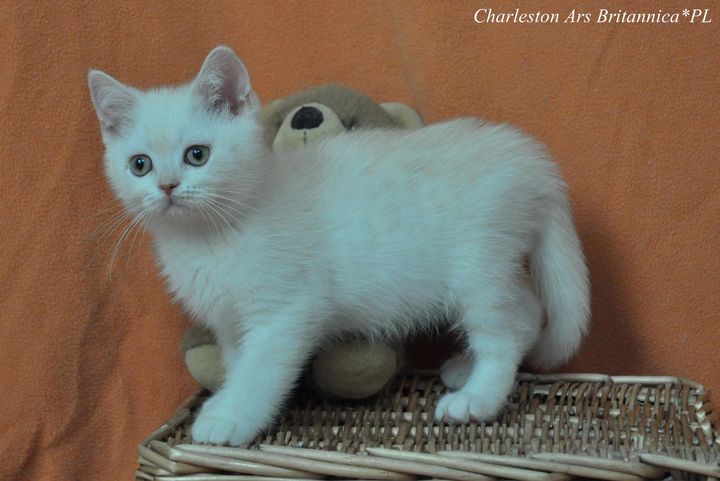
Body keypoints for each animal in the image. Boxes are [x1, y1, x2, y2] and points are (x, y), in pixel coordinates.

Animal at [88, 46, 590, 446]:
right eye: (139, 164)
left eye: (197, 154)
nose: (167, 187)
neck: (211, 236)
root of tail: (531, 160)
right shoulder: (230, 323)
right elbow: (236, 364)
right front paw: (225, 400)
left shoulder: (284, 314)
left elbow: (258, 372)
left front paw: (230, 417)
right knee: (527, 313)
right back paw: (467, 368)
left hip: (479, 266)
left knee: (505, 333)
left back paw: (477, 398)